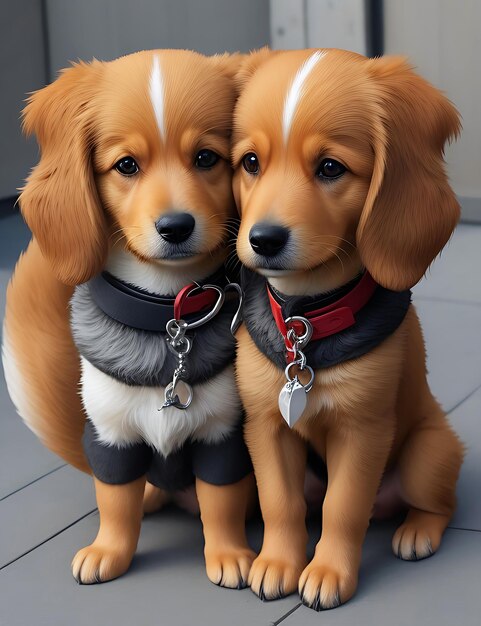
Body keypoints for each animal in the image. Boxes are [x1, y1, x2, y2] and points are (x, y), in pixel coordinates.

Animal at [2, 48, 255, 584]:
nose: (176, 227)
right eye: (126, 165)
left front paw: (228, 553)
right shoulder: (110, 437)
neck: (166, 316)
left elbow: (221, 503)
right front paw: (109, 551)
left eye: (206, 158)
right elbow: (116, 503)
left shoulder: (223, 436)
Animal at [231, 50, 464, 608]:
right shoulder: (265, 426)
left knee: (436, 505)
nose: (263, 239)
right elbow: (280, 502)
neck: (305, 321)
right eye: (250, 163)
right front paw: (279, 562)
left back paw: (417, 531)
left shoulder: (363, 431)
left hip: (429, 454)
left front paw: (328, 572)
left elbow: (345, 507)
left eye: (330, 168)